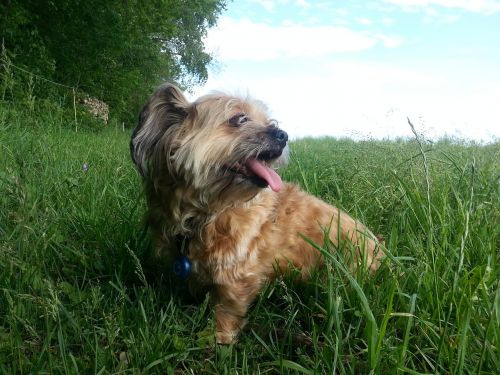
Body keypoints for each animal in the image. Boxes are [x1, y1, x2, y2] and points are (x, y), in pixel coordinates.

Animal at [130, 83, 382, 346]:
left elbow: (227, 309)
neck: (210, 211)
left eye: (269, 121)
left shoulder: (237, 276)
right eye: (239, 119)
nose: (282, 135)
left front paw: (219, 338)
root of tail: (378, 247)